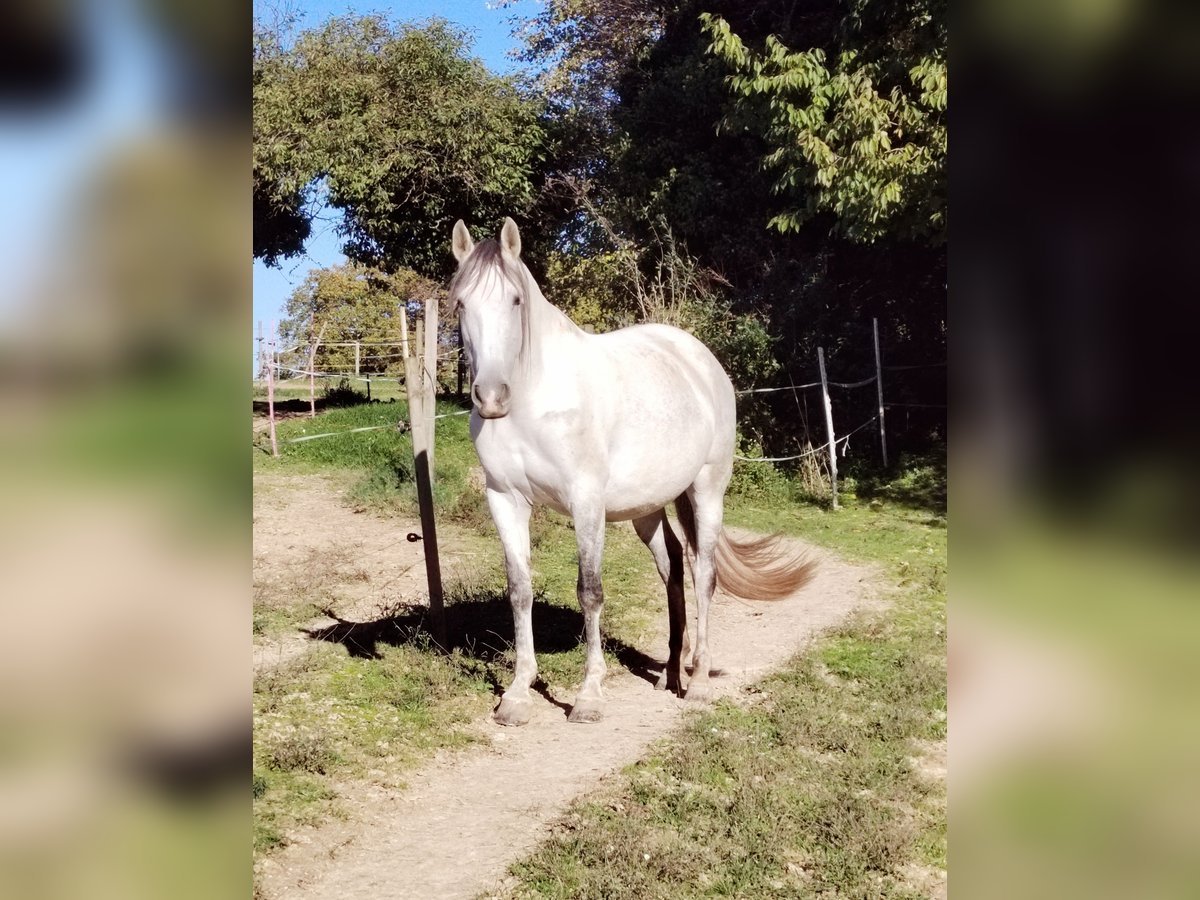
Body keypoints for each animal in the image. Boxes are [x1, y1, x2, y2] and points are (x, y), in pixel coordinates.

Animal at [451, 222, 816, 729]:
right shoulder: (504, 499)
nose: (490, 397)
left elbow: (590, 591)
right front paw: (518, 694)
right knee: (673, 566)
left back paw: (698, 682)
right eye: (461, 303)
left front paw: (589, 696)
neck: (534, 400)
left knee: (704, 574)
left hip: (707, 491)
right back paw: (671, 673)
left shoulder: (586, 501)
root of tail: (700, 359)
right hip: (647, 507)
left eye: (516, 300)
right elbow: (519, 591)